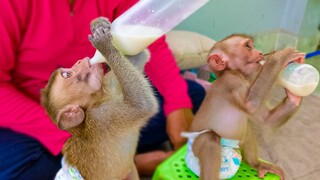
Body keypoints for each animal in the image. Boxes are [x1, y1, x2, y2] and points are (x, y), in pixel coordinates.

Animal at [40, 17, 158, 179]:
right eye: (67, 74)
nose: (78, 61)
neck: (95, 100)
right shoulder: (100, 118)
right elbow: (141, 106)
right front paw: (105, 46)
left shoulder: (107, 85)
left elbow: (138, 59)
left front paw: (99, 25)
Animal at [182, 34, 304, 180]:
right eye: (247, 46)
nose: (260, 53)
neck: (238, 74)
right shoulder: (231, 81)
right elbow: (250, 105)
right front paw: (280, 57)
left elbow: (267, 119)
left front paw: (294, 95)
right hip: (194, 156)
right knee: (208, 138)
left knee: (247, 129)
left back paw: (257, 164)